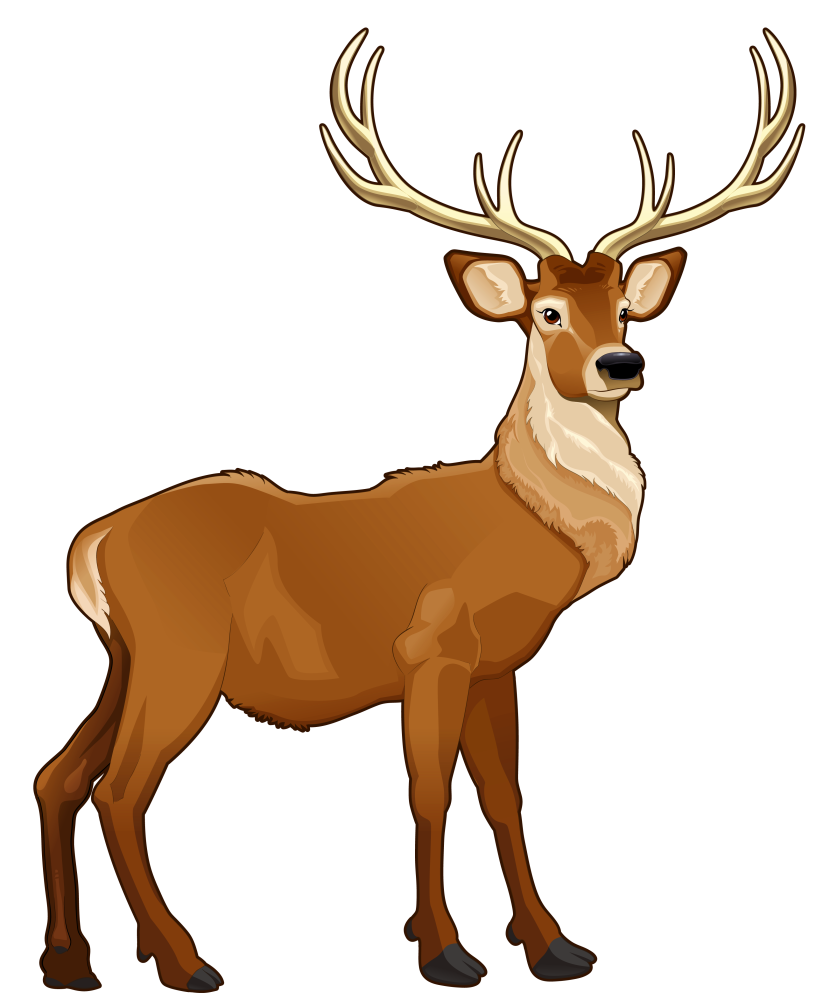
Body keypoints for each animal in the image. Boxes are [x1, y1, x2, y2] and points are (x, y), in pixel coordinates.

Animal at [36, 25, 803, 992]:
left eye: (625, 308)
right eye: (547, 313)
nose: (620, 365)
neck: (531, 529)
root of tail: (94, 541)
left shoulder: (498, 665)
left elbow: (505, 795)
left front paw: (551, 945)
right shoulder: (432, 645)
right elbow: (429, 793)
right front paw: (444, 951)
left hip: (125, 655)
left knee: (59, 776)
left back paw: (72, 960)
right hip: (182, 653)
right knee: (120, 789)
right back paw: (183, 960)